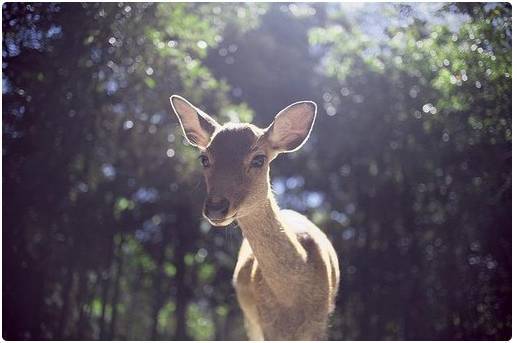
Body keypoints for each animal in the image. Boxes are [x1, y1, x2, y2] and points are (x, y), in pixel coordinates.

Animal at [169, 94, 338, 342]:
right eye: (204, 159)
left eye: (259, 159)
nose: (216, 208)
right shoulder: (265, 323)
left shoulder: (320, 324)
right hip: (250, 320)